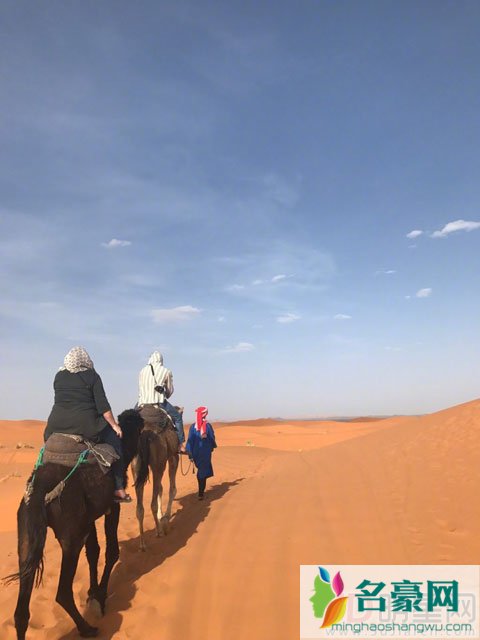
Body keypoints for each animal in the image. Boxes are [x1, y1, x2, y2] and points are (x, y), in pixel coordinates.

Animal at [8, 410, 143, 640]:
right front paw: (100, 597)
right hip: (71, 537)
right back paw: (87, 628)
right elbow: (111, 552)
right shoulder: (112, 506)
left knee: (21, 611)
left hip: (26, 535)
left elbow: (94, 552)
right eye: (139, 424)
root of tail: (40, 488)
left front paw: (92, 593)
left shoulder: (87, 519)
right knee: (62, 592)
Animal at [132, 404, 183, 552]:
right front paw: (165, 519)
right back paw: (159, 531)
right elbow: (172, 489)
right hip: (158, 462)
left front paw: (161, 517)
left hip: (136, 466)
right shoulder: (173, 456)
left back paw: (142, 544)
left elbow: (161, 488)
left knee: (139, 508)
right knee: (153, 502)